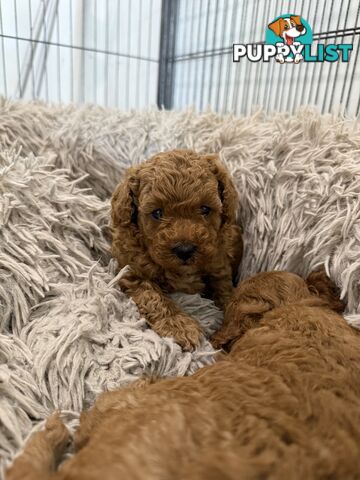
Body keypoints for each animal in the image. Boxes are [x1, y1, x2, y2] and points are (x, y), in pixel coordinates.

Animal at [109, 150, 242, 348]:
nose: (184, 250)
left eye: (205, 209)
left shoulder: (218, 267)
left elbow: (227, 296)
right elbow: (153, 298)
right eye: (157, 213)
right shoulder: (132, 272)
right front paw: (180, 327)